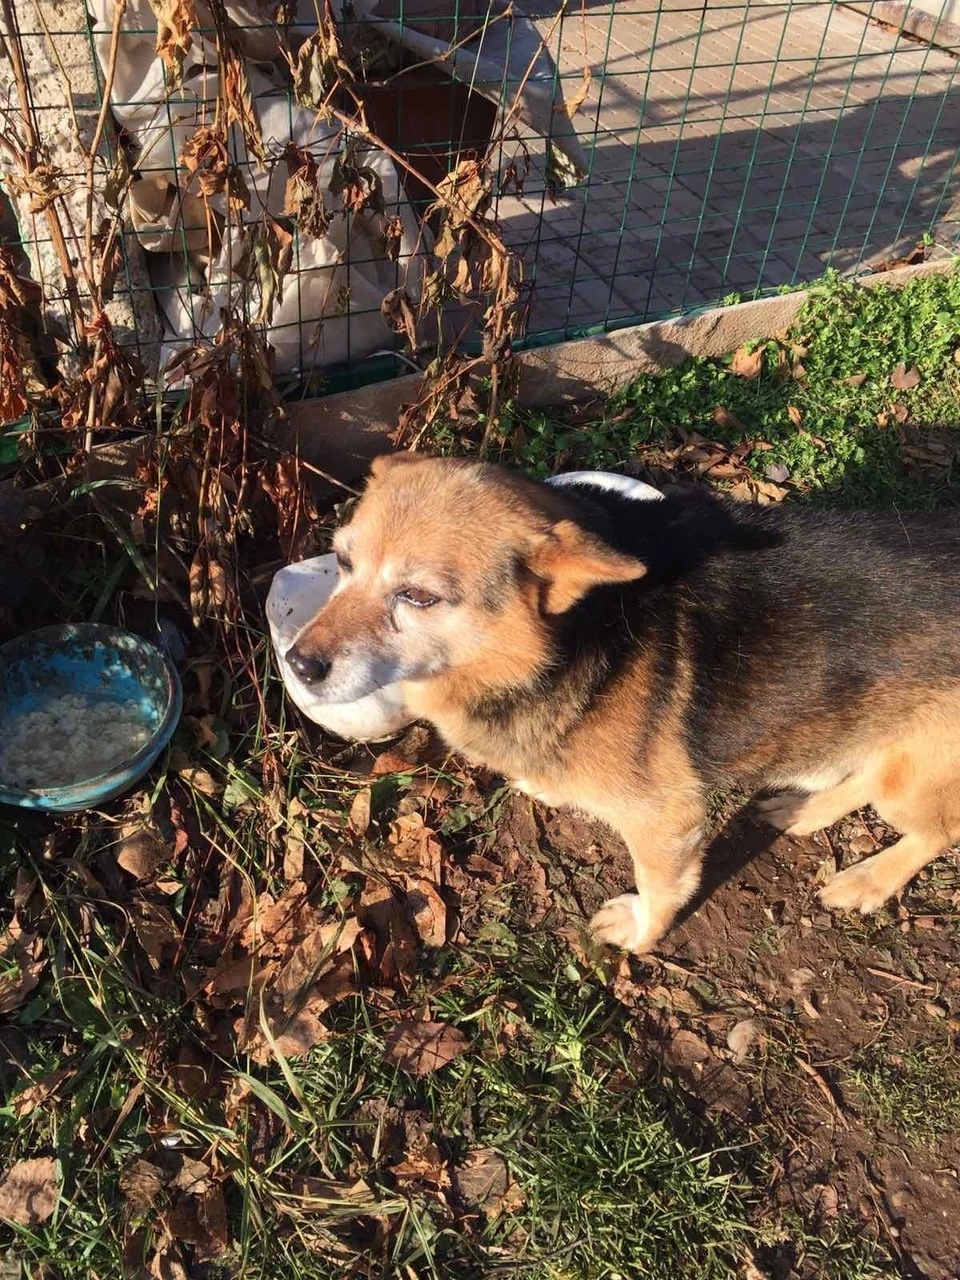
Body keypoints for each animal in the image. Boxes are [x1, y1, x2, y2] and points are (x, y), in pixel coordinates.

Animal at [284, 450, 960, 952]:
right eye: (342, 560)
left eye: (419, 597)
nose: (297, 664)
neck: (564, 639)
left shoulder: (666, 820)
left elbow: (660, 888)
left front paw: (639, 934)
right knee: (863, 776)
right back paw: (805, 809)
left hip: (916, 776)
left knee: (936, 831)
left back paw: (868, 880)